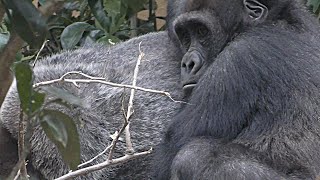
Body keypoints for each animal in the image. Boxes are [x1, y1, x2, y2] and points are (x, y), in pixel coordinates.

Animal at [154, 0, 320, 179]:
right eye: (185, 36)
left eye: (201, 31)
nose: (187, 64)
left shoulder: (237, 58)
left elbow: (168, 160)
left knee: (192, 156)